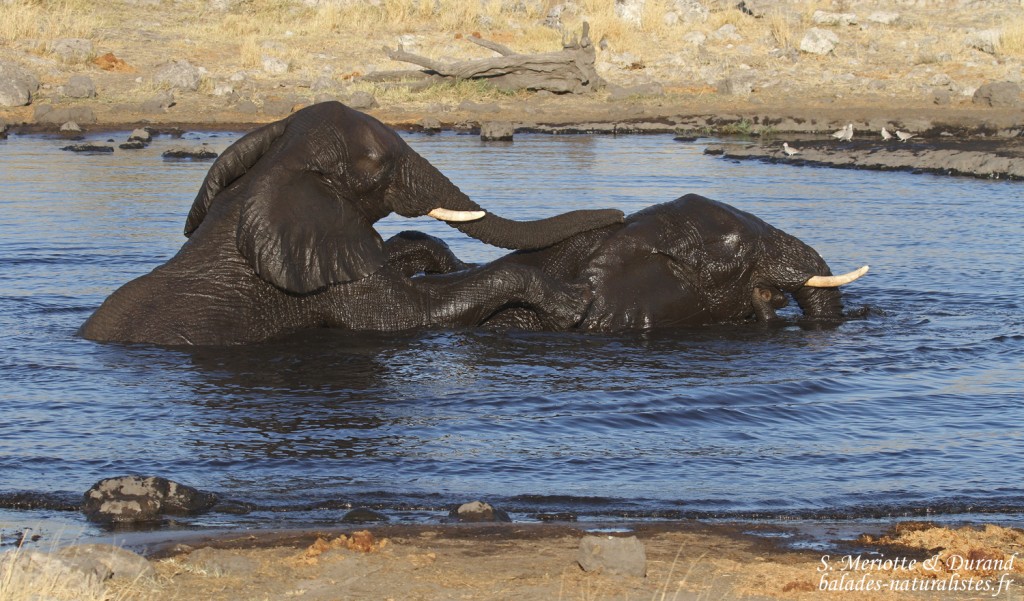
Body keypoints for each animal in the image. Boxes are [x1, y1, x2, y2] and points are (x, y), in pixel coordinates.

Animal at [80, 101, 624, 345]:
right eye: (379, 167)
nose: (618, 213)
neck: (278, 168)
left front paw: (439, 261)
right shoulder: (309, 279)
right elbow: (407, 318)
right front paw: (574, 303)